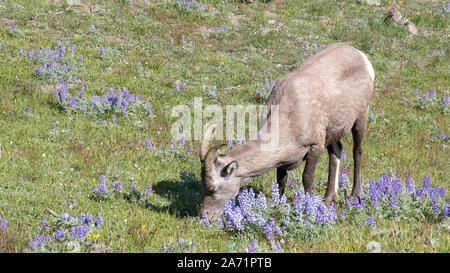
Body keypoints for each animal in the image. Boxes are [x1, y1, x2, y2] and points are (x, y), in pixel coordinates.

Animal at [199, 43, 374, 219]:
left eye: (213, 187)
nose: (204, 216)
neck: (289, 115)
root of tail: (361, 56)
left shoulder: (315, 147)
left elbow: (307, 178)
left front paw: (307, 207)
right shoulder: (283, 160)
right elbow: (281, 181)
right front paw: (278, 206)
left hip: (361, 117)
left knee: (357, 151)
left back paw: (356, 195)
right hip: (333, 132)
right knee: (336, 152)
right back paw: (328, 199)